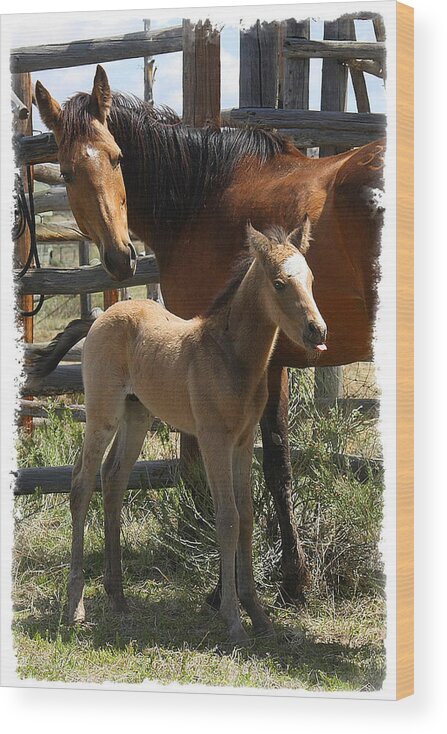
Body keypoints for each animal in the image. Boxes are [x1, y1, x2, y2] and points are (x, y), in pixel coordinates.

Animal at [35, 64, 384, 604]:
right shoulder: (269, 362)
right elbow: (271, 465)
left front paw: (246, 585)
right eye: (68, 172)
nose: (120, 258)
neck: (201, 195)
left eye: (117, 158)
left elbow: (261, 467)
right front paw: (285, 579)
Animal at [68, 221, 328, 648]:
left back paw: (118, 598)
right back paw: (76, 607)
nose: (317, 331)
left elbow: (247, 517)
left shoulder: (242, 442)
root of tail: (105, 313)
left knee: (114, 479)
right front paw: (233, 620)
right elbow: (227, 517)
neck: (231, 356)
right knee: (81, 485)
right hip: (103, 413)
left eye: (310, 279)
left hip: (137, 415)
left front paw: (259, 616)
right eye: (278, 283)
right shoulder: (213, 440)